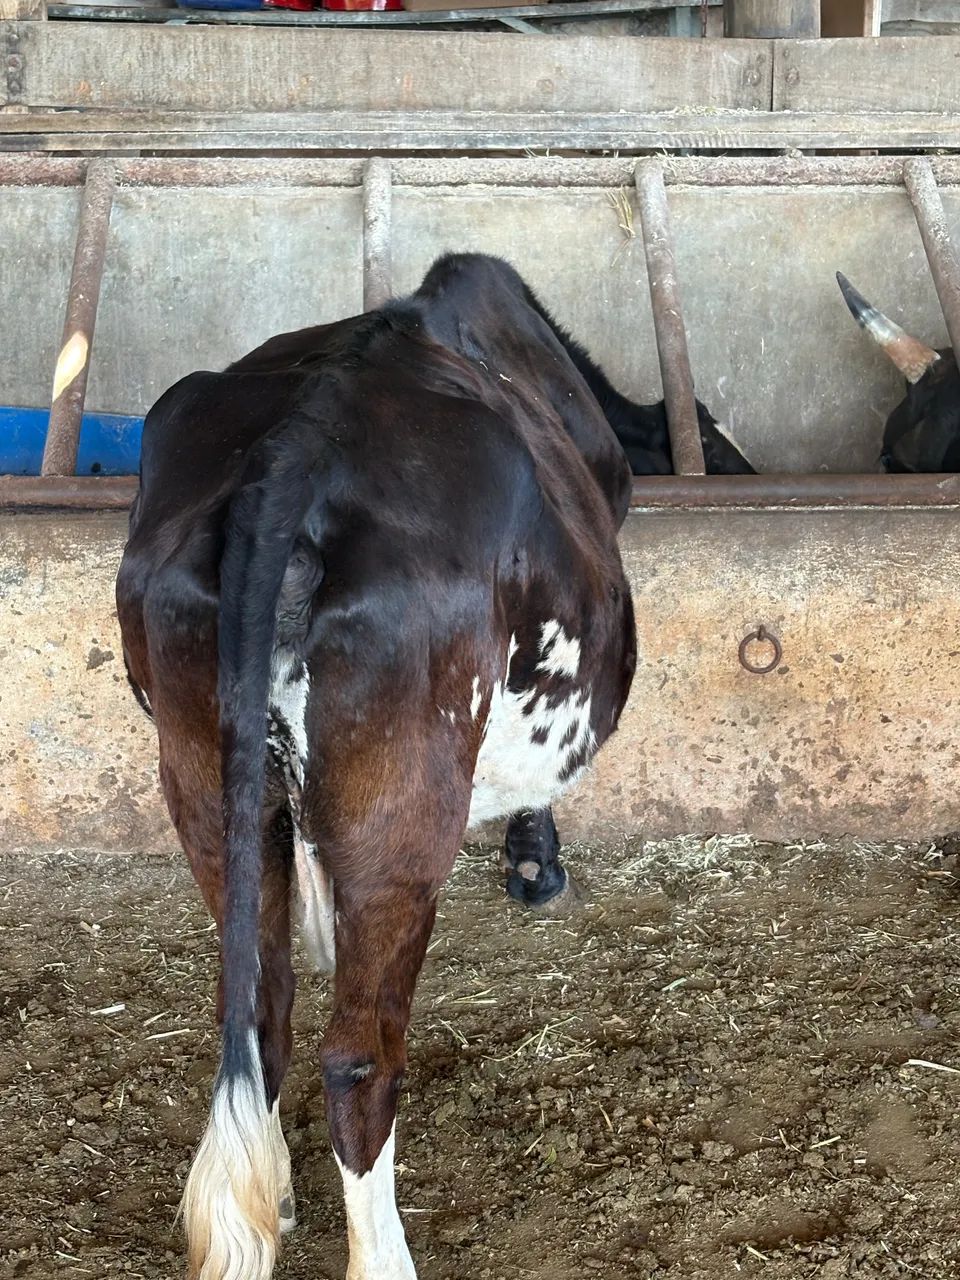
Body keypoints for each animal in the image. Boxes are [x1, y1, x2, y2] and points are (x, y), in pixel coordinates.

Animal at [117, 252, 639, 1280]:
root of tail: (293, 450)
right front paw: (537, 859)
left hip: (199, 775)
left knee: (261, 1011)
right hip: (402, 803)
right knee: (358, 1055)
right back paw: (383, 1255)